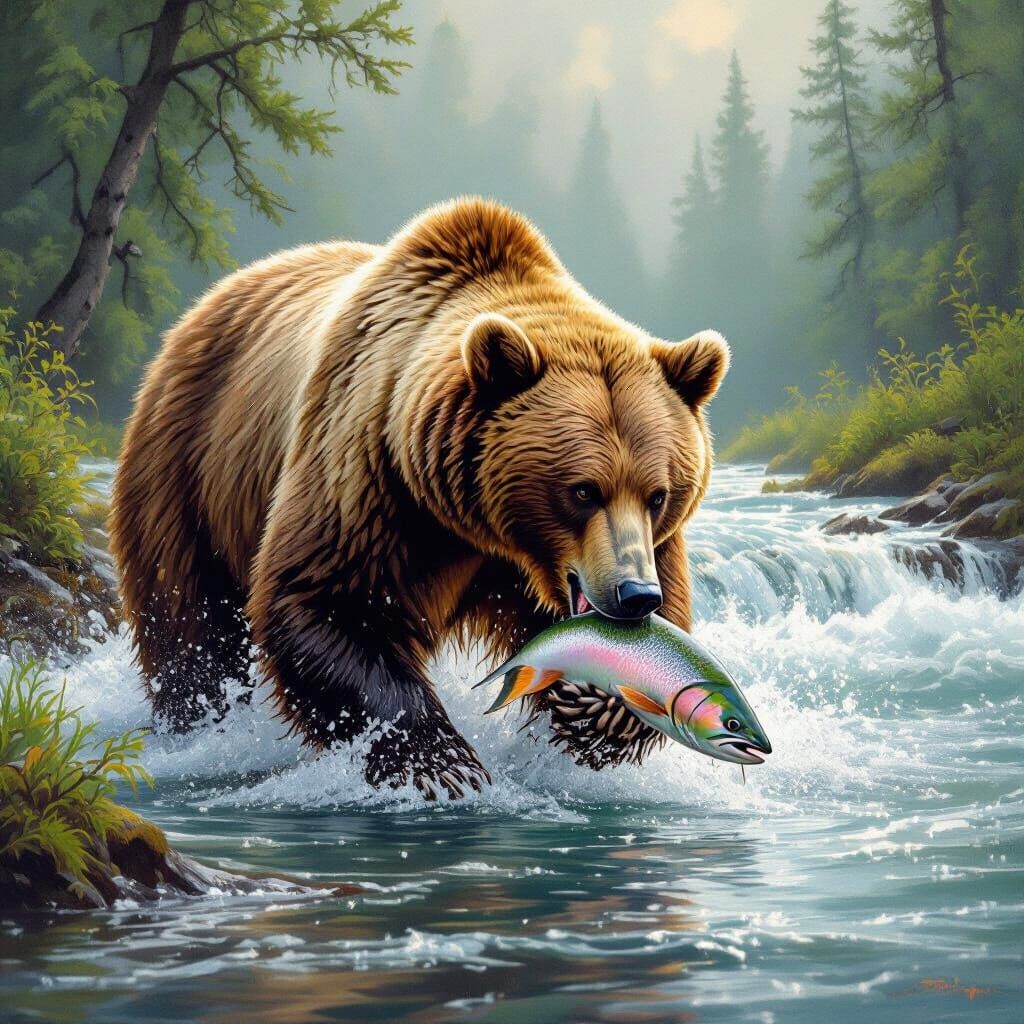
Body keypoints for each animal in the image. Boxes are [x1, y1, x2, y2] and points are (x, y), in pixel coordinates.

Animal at [110, 198, 729, 799]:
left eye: (657, 495)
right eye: (581, 491)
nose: (634, 595)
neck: (481, 524)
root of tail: (204, 306)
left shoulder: (634, 546)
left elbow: (665, 629)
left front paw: (594, 707)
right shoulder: (370, 474)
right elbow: (325, 600)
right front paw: (443, 766)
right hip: (187, 470)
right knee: (190, 624)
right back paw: (199, 724)